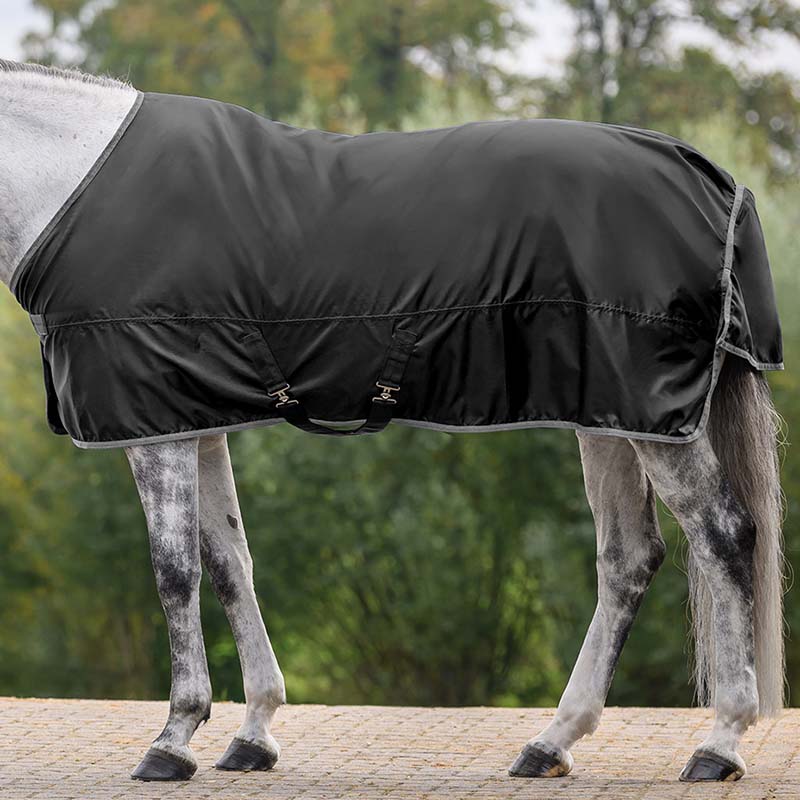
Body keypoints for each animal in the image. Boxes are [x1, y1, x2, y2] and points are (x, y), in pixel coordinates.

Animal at [0, 60, 785, 783]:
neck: (73, 178)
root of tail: (714, 179)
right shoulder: (198, 420)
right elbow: (229, 564)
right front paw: (253, 734)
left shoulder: (156, 427)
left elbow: (175, 571)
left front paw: (173, 739)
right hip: (611, 415)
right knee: (628, 558)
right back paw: (551, 743)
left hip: (655, 422)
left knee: (722, 534)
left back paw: (719, 744)